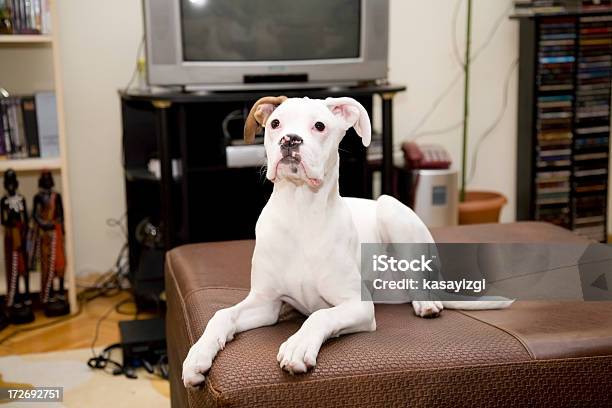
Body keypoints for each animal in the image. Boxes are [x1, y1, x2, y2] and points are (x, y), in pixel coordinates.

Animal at [182, 95, 512, 386]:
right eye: (275, 123)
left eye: (319, 126)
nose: (289, 140)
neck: (300, 212)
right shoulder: (266, 304)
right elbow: (221, 314)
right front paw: (198, 354)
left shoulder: (358, 306)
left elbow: (320, 316)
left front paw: (298, 345)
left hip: (391, 209)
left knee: (420, 280)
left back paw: (426, 302)